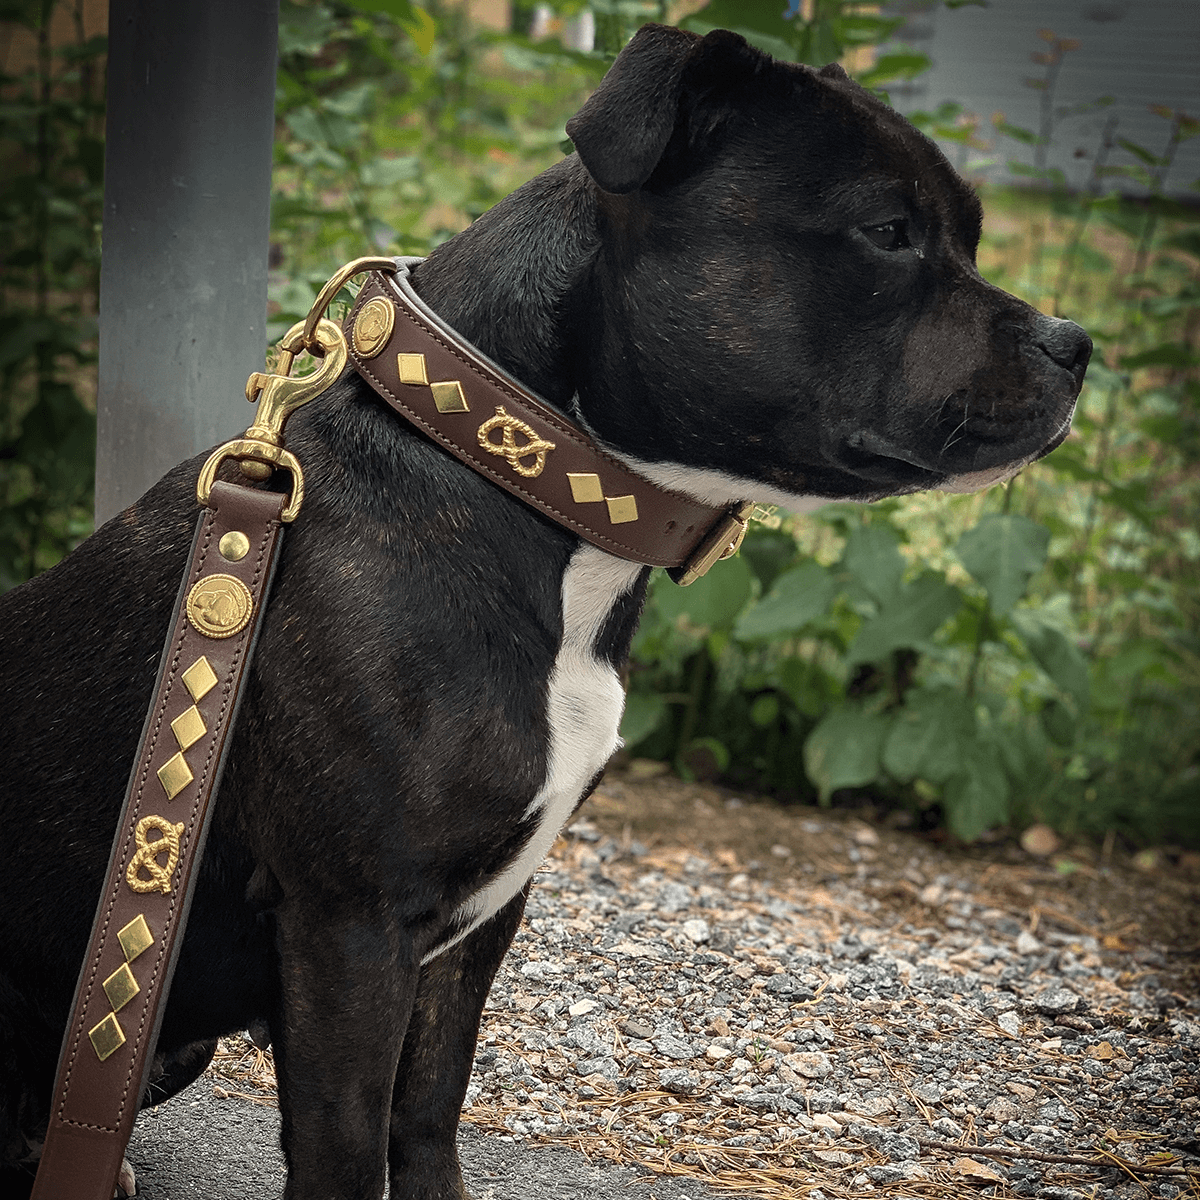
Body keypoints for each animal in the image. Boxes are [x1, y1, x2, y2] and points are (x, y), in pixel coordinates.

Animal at [0, 21, 1089, 1200]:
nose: (1075, 343)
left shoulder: (466, 935)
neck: (531, 482)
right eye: (888, 232)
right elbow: (344, 1146)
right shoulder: (350, 927)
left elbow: (428, 1113)